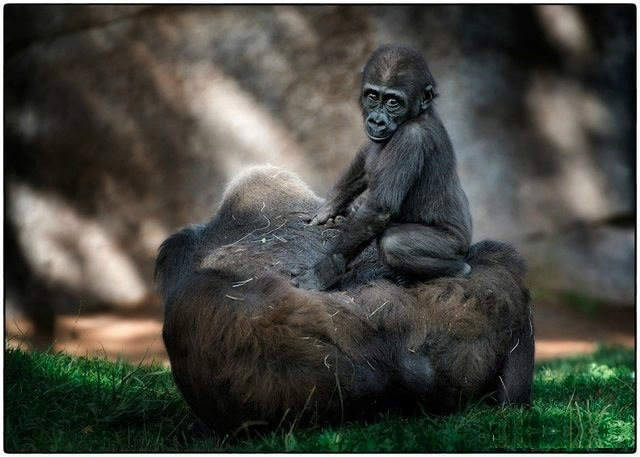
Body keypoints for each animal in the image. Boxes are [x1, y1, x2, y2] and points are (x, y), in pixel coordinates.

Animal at [293, 45, 472, 291]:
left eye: (393, 102)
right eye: (372, 96)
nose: (377, 121)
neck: (417, 114)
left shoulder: (411, 138)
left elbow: (378, 208)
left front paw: (324, 271)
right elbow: (363, 162)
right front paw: (329, 207)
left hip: (455, 244)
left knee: (394, 243)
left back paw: (458, 270)